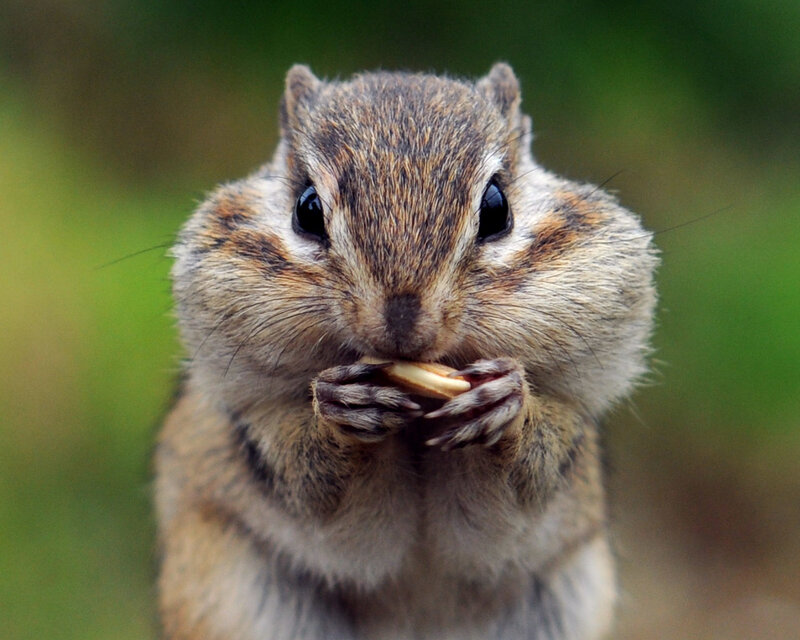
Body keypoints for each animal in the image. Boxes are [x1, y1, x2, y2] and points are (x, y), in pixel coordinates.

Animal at [155, 63, 658, 639]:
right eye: (307, 210)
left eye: (497, 208)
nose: (401, 325)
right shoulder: (264, 440)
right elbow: (316, 489)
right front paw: (341, 408)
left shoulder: (557, 458)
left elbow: (523, 487)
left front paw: (506, 404)